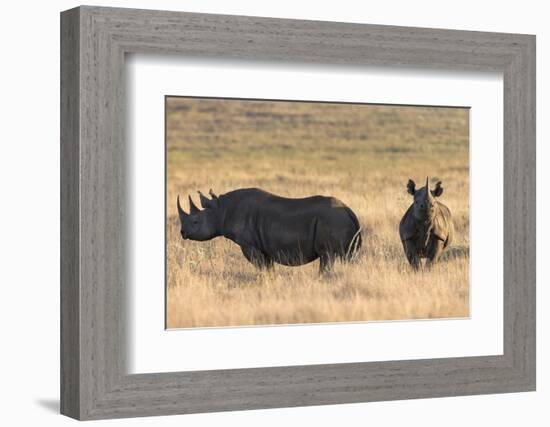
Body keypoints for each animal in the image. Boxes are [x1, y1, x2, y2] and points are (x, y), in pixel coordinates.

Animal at [179, 188, 364, 274]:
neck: (221, 210)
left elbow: (261, 266)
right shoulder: (264, 246)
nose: (182, 233)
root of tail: (348, 210)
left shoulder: (249, 245)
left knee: (328, 256)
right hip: (338, 221)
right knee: (346, 258)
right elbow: (268, 267)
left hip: (332, 221)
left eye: (195, 222)